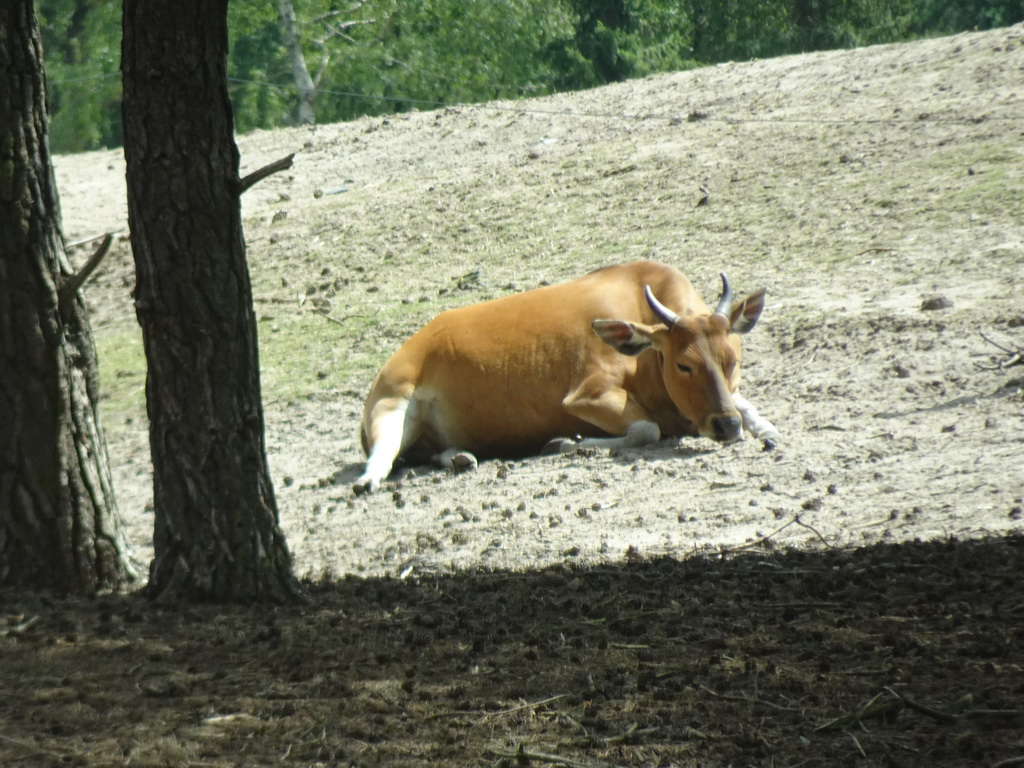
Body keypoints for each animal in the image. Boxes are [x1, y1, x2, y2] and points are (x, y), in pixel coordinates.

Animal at [352, 262, 774, 495]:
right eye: (683, 365)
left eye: (732, 360)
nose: (725, 426)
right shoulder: (587, 395)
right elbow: (646, 430)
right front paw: (566, 442)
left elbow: (746, 404)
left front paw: (764, 429)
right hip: (393, 402)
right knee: (386, 453)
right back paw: (369, 478)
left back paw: (459, 457)